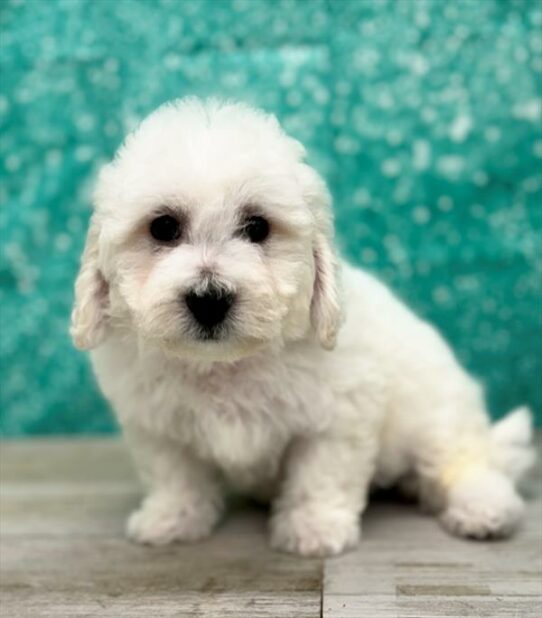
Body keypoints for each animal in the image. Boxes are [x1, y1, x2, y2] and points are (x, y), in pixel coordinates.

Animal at [71, 98, 536, 556]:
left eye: (257, 227)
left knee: (465, 461)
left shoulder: (340, 414)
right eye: (163, 227)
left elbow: (321, 472)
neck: (225, 363)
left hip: (437, 413)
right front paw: (172, 517)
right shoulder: (155, 423)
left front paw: (314, 527)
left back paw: (483, 506)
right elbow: (175, 473)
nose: (209, 299)